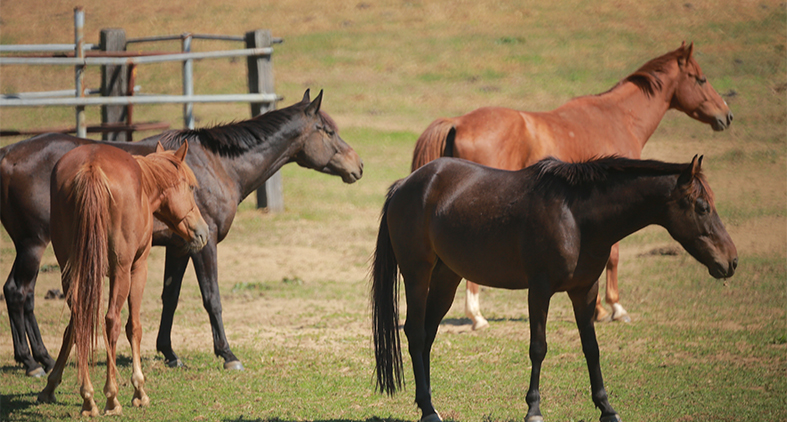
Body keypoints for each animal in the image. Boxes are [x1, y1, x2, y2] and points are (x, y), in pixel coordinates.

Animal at [0, 89, 364, 376]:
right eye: (328, 131)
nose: (358, 166)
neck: (215, 166)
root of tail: (8, 156)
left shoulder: (179, 247)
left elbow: (170, 298)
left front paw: (170, 353)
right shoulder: (205, 244)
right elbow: (212, 298)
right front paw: (228, 354)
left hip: (35, 245)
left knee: (22, 294)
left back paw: (42, 359)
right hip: (34, 244)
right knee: (19, 292)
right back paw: (33, 363)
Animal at [36, 142, 209, 416]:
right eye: (191, 187)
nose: (203, 232)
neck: (144, 185)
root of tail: (92, 166)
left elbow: (71, 330)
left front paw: (50, 386)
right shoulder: (138, 268)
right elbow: (133, 327)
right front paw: (139, 390)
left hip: (72, 270)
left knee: (80, 321)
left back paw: (88, 398)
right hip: (121, 271)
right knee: (112, 323)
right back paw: (111, 397)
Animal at [374, 155, 740, 422]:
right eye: (702, 207)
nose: (732, 261)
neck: (576, 217)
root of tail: (406, 184)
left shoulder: (585, 291)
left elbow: (592, 348)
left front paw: (606, 408)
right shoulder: (539, 289)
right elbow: (538, 347)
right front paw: (533, 409)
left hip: (447, 277)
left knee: (428, 335)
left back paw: (427, 403)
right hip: (418, 274)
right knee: (415, 333)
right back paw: (428, 410)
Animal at [410, 42, 736, 326]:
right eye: (701, 79)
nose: (727, 115)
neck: (619, 118)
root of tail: (458, 121)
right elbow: (613, 256)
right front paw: (613, 308)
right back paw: (477, 316)